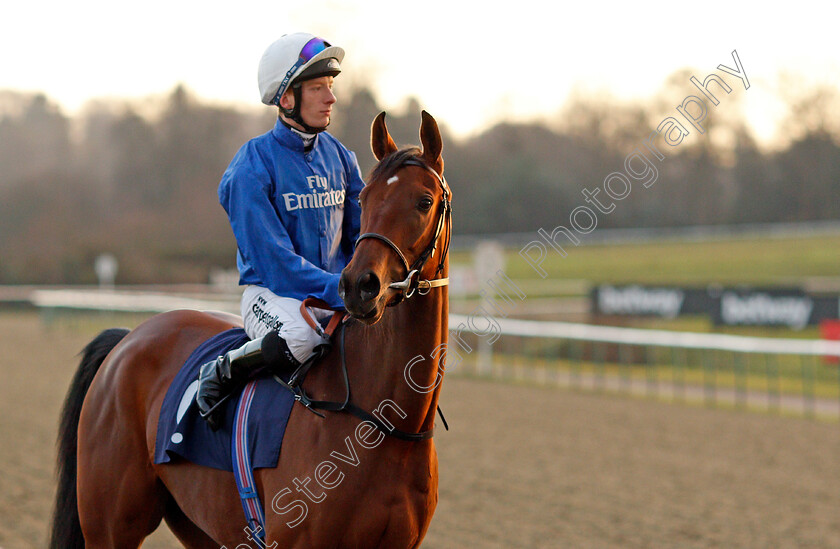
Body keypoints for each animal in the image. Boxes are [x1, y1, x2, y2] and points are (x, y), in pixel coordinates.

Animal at [52, 110, 452, 544]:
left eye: (424, 201)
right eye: (365, 199)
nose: (358, 286)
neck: (385, 424)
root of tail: (127, 339)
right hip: (111, 526)